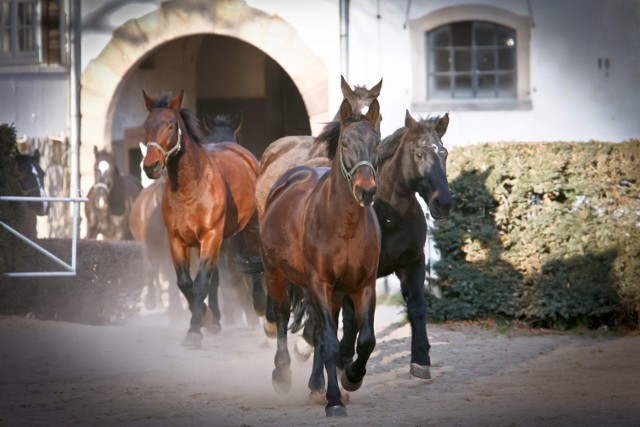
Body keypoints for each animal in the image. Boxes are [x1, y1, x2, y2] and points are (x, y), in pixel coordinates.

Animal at [141, 90, 260, 348]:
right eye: (146, 125)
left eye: (171, 125)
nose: (150, 166)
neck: (190, 190)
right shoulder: (178, 240)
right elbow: (187, 282)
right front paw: (205, 319)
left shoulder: (212, 237)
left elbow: (202, 282)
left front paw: (195, 331)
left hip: (250, 229)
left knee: (254, 262)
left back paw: (259, 307)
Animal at [258, 98, 380, 418]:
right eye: (345, 144)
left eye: (376, 143)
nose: (366, 190)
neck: (344, 227)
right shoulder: (320, 283)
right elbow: (329, 343)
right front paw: (334, 401)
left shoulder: (363, 285)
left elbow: (365, 340)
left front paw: (351, 379)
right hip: (277, 274)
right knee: (283, 316)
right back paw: (282, 375)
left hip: (329, 291)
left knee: (317, 327)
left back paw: (315, 385)